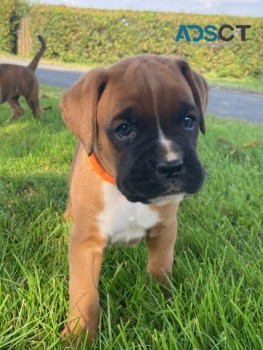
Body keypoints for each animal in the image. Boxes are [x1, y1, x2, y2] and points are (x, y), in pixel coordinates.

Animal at [59, 56, 208, 344]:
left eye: (188, 120)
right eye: (124, 129)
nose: (171, 166)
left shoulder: (165, 229)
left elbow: (160, 267)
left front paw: (162, 302)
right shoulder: (86, 243)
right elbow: (85, 294)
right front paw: (79, 335)